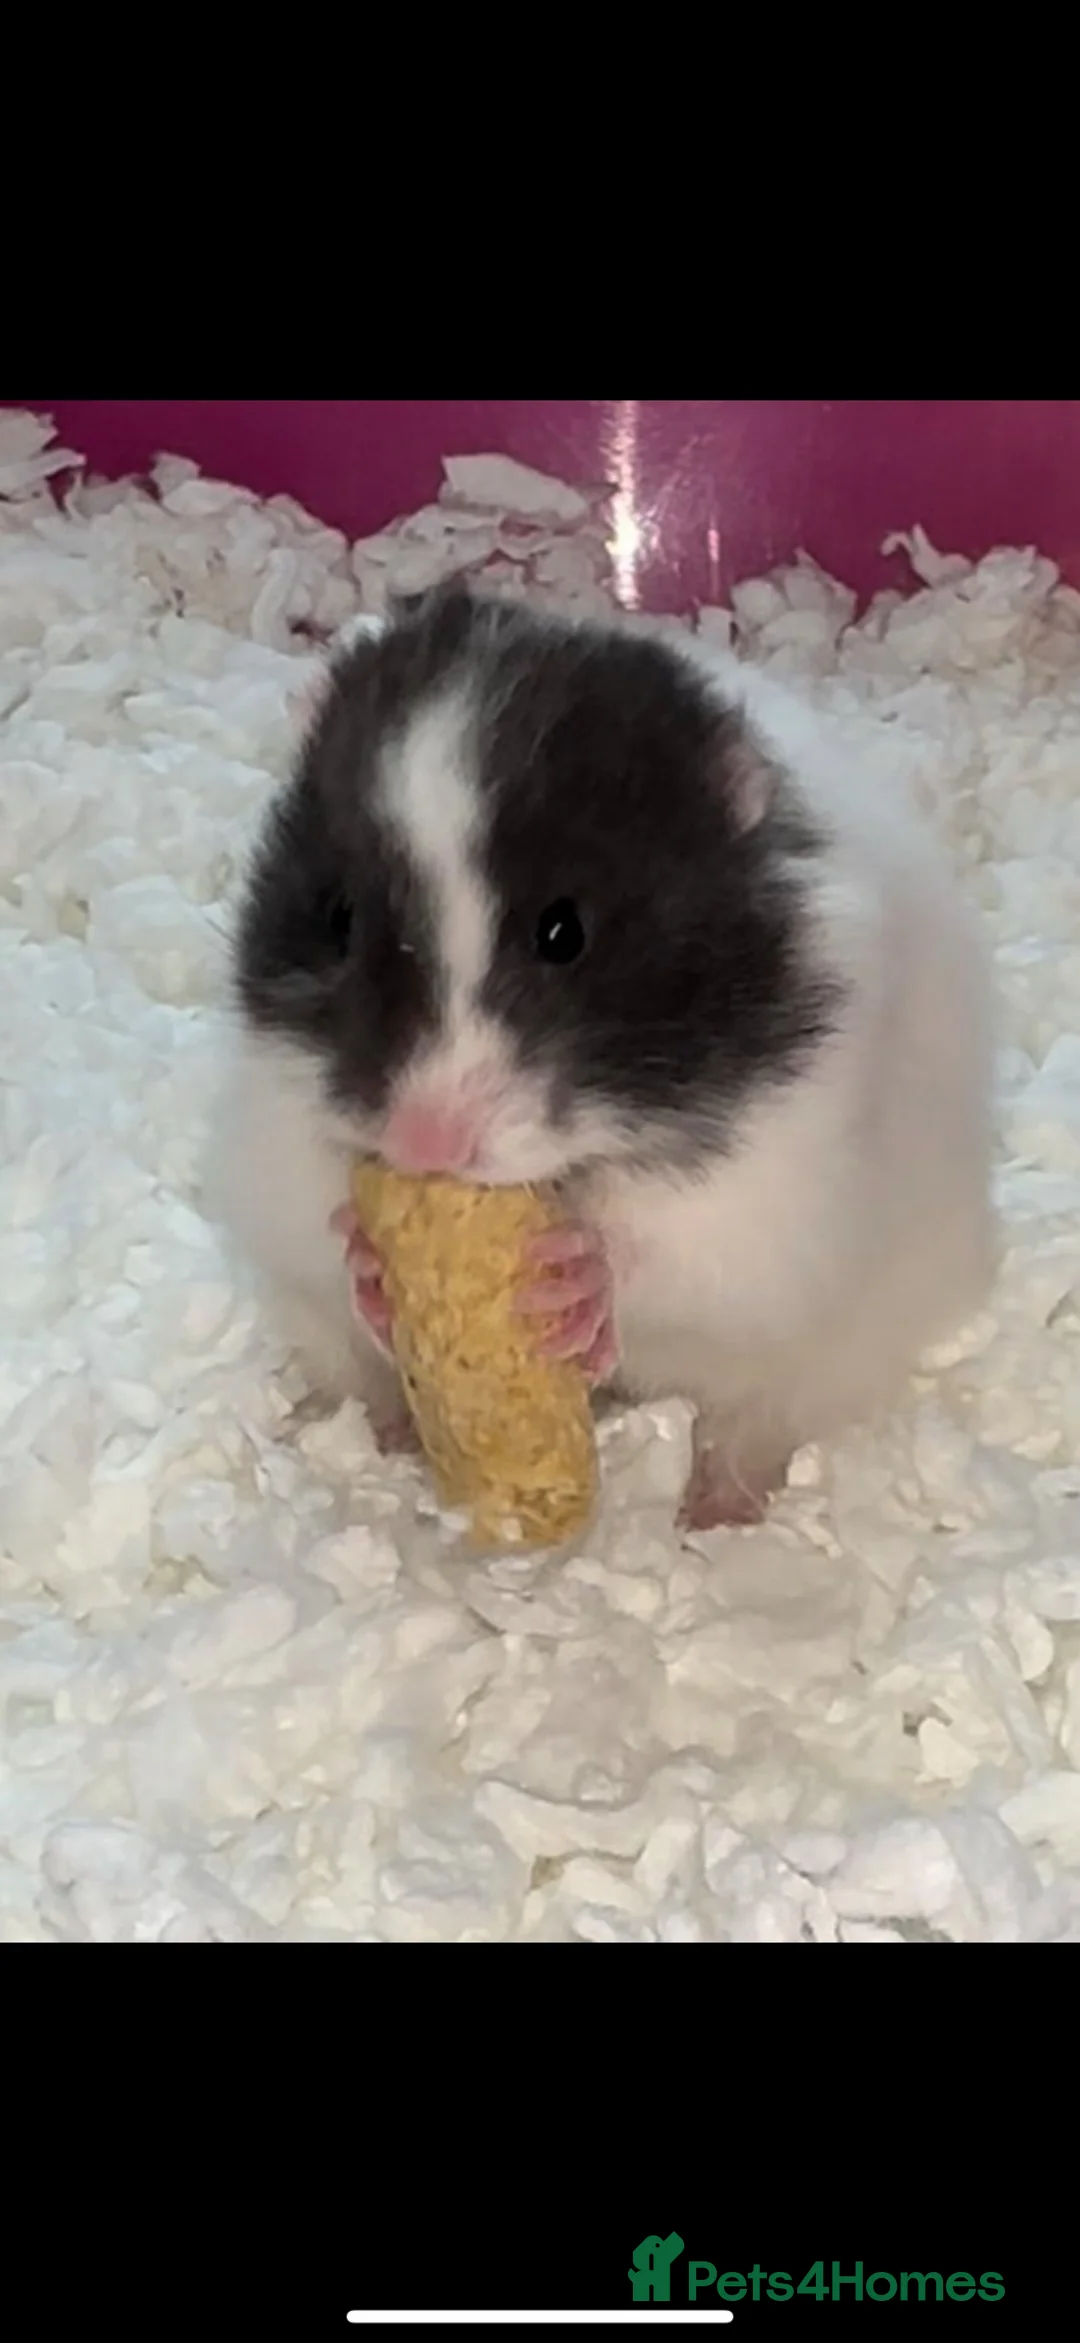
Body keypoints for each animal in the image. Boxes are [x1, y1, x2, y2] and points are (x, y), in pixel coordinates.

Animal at [208, 583, 995, 1530]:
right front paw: (368, 1256)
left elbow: (670, 1257)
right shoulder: (276, 1134)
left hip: (840, 1347)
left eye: (564, 931)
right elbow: (317, 1228)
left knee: (752, 1427)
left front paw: (571, 1278)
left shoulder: (776, 1202)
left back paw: (714, 1515)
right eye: (338, 918)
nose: (425, 1143)